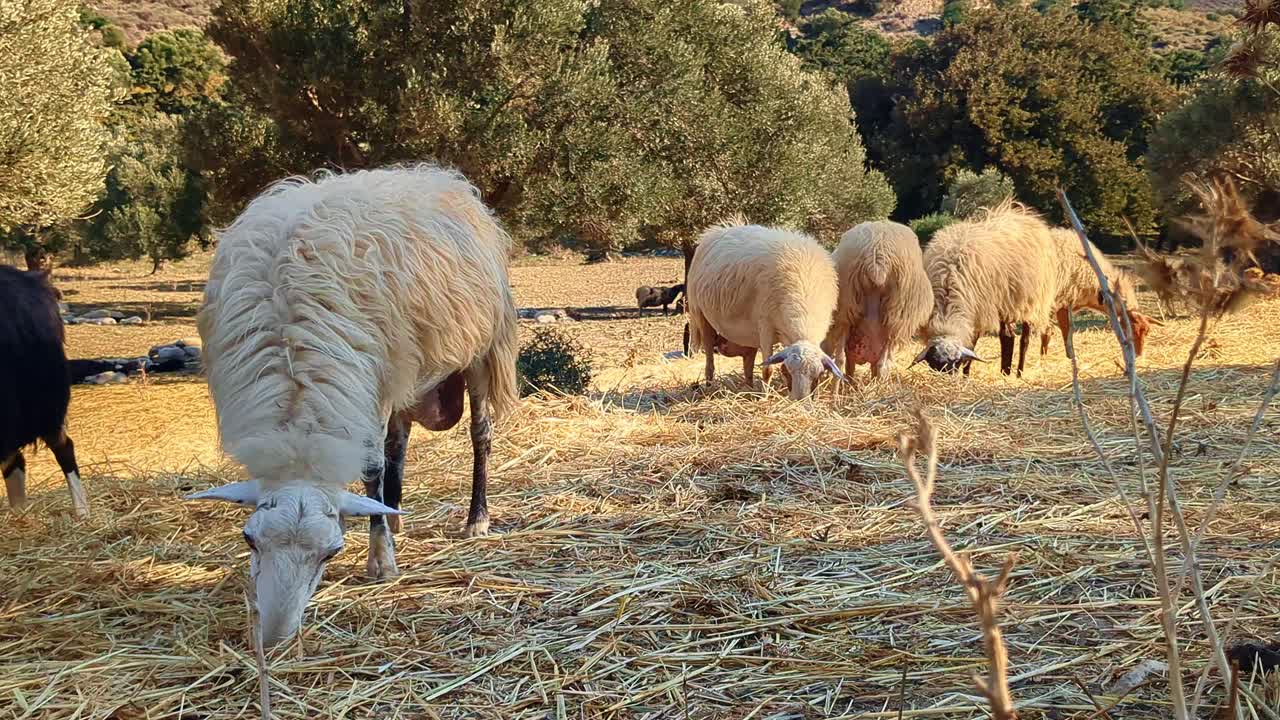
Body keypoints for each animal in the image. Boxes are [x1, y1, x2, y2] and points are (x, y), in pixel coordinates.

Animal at [185, 164, 518, 647]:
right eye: (249, 540)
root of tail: (435, 175)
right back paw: (394, 516)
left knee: (479, 435)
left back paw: (476, 519)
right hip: (405, 373)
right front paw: (385, 529)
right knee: (398, 441)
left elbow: (371, 468)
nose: (275, 637)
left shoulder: (374, 381)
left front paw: (380, 561)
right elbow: (383, 459)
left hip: (478, 350)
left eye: (332, 552)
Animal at [686, 221, 843, 399]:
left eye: (818, 375)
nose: (799, 401)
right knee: (709, 357)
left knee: (748, 362)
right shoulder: (766, 326)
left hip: (748, 334)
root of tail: (716, 231)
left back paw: (748, 387)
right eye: (787, 371)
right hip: (700, 315)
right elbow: (768, 369)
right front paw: (765, 397)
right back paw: (709, 385)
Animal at [915, 202, 1059, 376]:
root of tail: (1024, 215)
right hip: (1004, 303)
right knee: (1007, 336)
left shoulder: (980, 310)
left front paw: (965, 374)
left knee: (1024, 338)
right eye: (933, 364)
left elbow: (973, 342)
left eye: (955, 363)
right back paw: (1005, 372)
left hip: (1031, 300)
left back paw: (1019, 373)